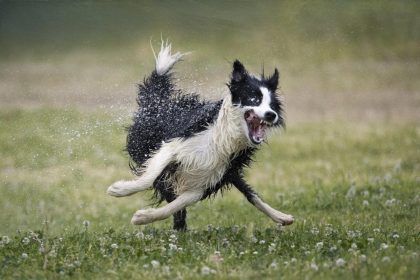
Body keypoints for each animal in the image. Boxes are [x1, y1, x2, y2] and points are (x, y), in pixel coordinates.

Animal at [106, 41, 294, 230]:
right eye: (254, 99)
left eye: (273, 105)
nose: (271, 115)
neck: (224, 138)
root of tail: (159, 103)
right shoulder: (173, 145)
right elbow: (150, 176)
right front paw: (120, 189)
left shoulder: (208, 179)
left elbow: (177, 204)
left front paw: (143, 217)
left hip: (227, 172)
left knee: (250, 194)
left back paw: (282, 217)